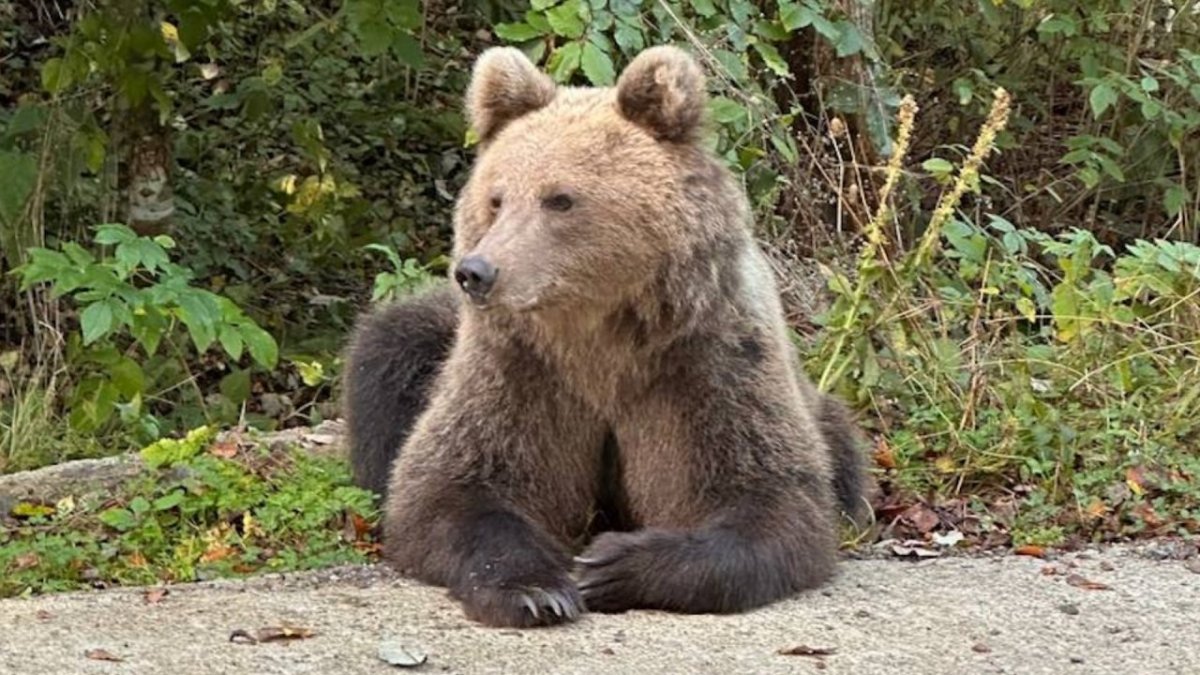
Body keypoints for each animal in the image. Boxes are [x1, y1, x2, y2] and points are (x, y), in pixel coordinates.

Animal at [341, 44, 869, 628]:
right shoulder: (519, 366)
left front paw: (611, 565)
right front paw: (536, 588)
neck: (597, 333)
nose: (477, 272)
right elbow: (451, 486)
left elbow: (770, 499)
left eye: (559, 199)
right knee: (390, 350)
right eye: (497, 198)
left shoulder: (706, 359)